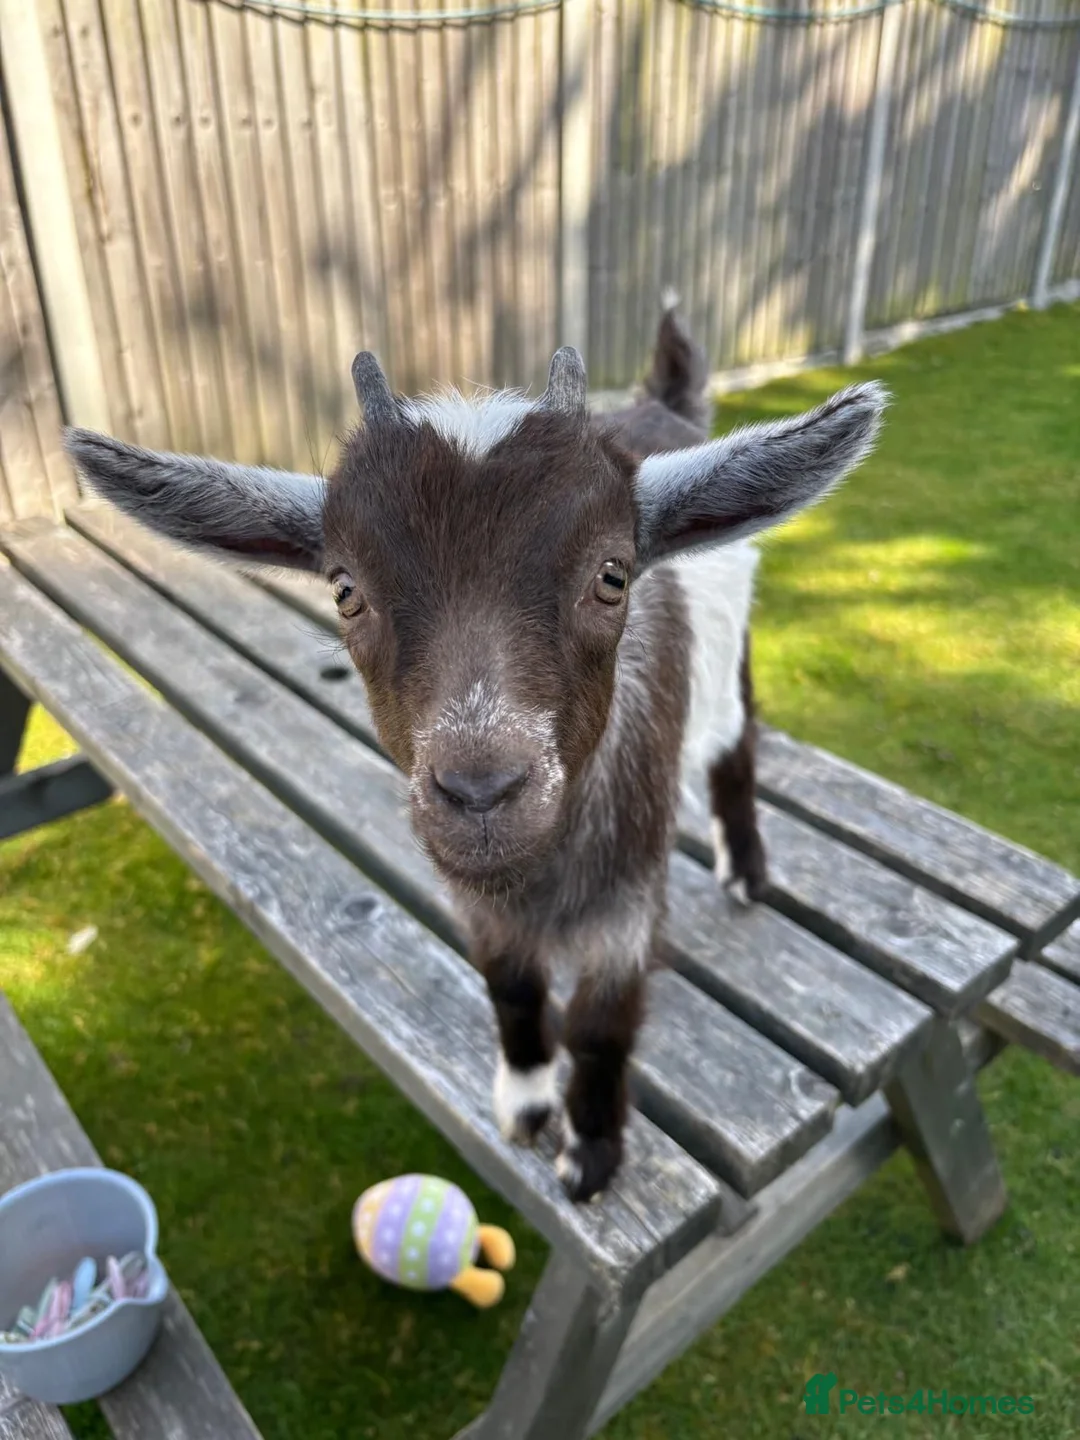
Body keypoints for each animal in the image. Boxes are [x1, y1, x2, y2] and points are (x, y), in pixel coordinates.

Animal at [64, 303, 886, 1201]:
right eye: (344, 590)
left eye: (613, 575)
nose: (482, 793)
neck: (541, 878)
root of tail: (662, 409)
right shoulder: (481, 905)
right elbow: (512, 987)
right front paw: (525, 1105)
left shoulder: (628, 897)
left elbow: (600, 1025)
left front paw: (590, 1152)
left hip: (732, 657)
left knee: (738, 738)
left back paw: (745, 869)